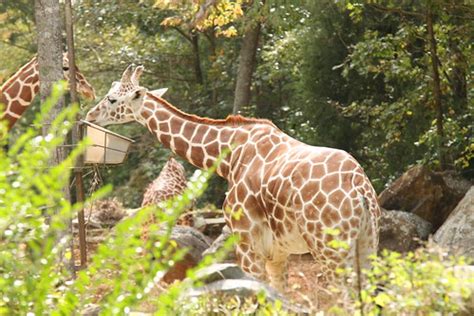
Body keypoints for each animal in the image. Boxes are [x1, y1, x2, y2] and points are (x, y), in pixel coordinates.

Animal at [86, 65, 382, 292]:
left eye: (111, 99)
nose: (90, 114)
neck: (229, 157)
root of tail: (360, 190)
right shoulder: (278, 252)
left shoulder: (246, 241)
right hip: (367, 245)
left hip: (331, 248)